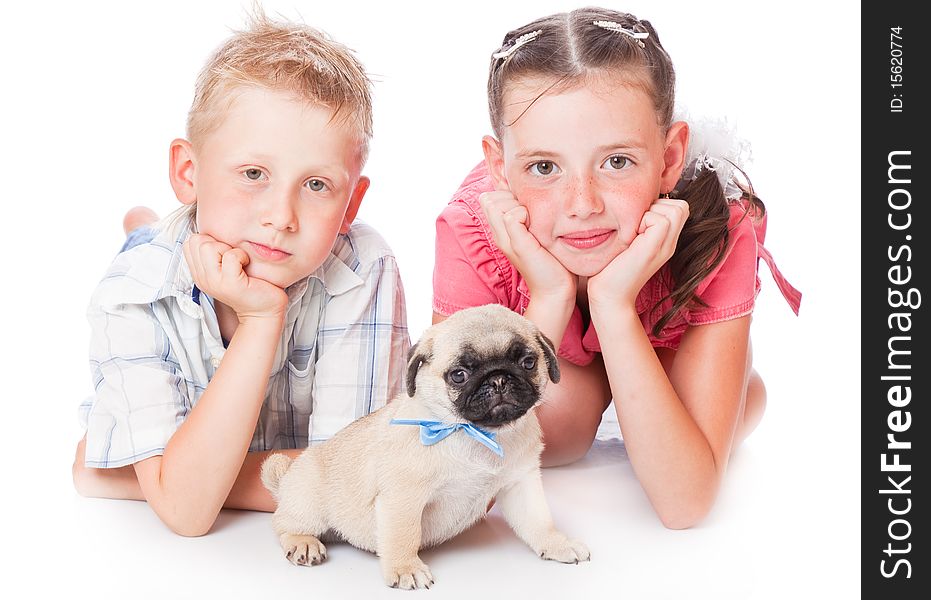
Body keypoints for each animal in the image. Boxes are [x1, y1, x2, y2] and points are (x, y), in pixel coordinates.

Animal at [260, 304, 588, 592]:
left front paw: (557, 543)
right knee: (282, 523)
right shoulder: (403, 497)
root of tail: (288, 477)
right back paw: (303, 542)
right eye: (459, 375)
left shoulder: (521, 484)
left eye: (527, 362)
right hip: (309, 504)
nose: (498, 379)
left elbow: (539, 521)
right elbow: (403, 535)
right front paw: (405, 568)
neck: (477, 433)